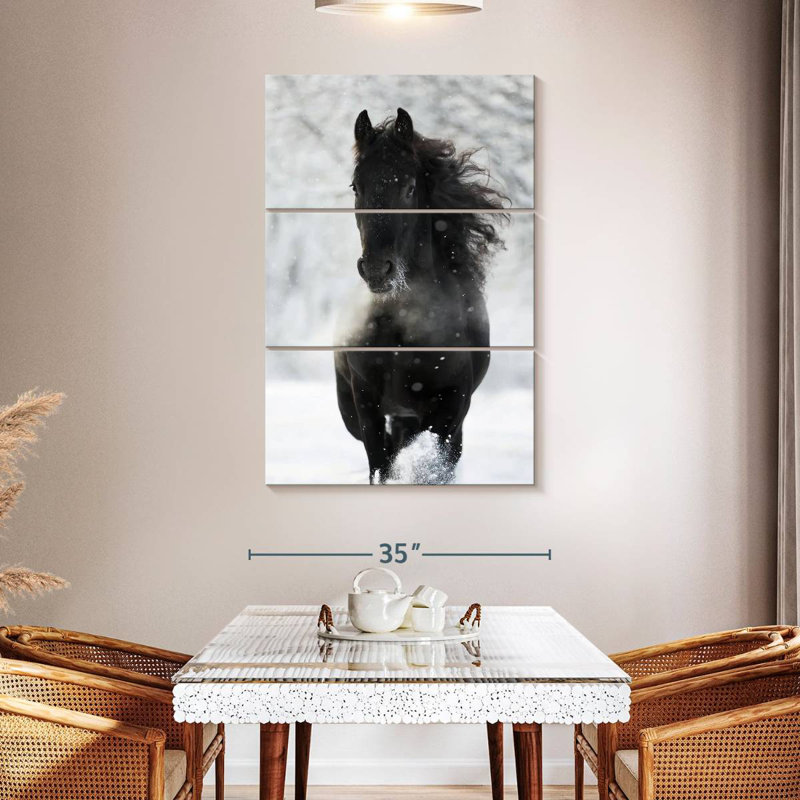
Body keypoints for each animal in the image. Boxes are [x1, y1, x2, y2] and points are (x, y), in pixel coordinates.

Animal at [334, 107, 507, 484]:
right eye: (356, 187)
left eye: (409, 187)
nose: (376, 269)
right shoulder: (366, 404)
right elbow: (380, 468)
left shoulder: (450, 409)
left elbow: (436, 468)